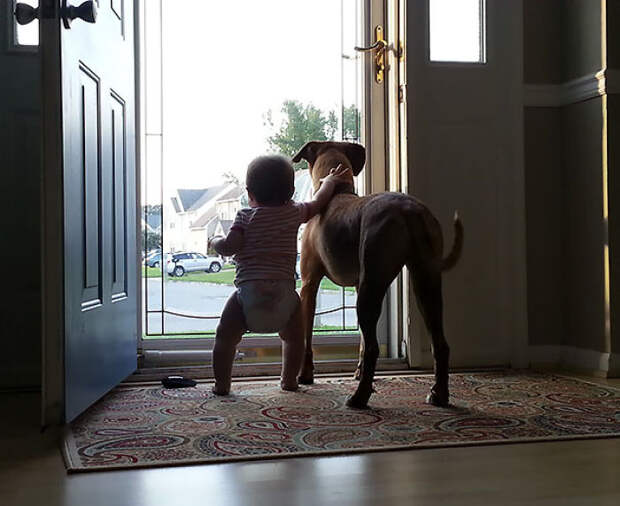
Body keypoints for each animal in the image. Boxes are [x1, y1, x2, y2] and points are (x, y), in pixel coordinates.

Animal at [294, 140, 462, 410]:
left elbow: (308, 339)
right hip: (425, 285)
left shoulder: (309, 285)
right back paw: (439, 394)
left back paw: (359, 398)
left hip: (373, 286)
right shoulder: (357, 285)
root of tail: (410, 210)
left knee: (374, 347)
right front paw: (359, 371)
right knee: (440, 343)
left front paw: (305, 375)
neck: (336, 191)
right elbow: (362, 340)